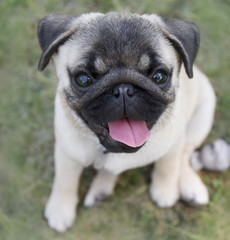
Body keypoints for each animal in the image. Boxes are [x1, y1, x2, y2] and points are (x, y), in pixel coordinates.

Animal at [37, 12, 216, 232]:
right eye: (83, 79)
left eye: (159, 76)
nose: (123, 89)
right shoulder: (67, 153)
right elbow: (65, 181)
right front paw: (60, 210)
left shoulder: (173, 144)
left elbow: (167, 166)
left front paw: (164, 190)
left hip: (202, 115)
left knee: (184, 154)